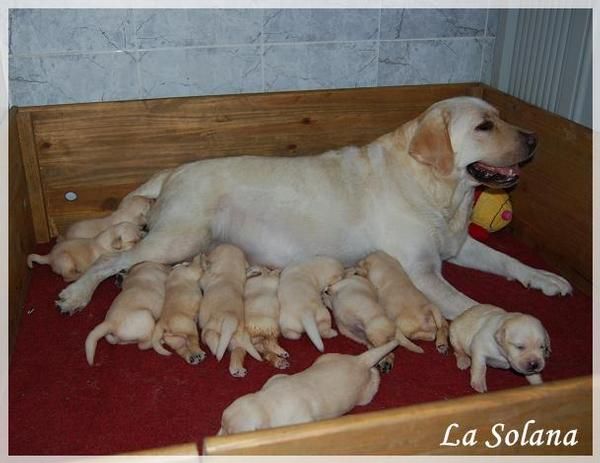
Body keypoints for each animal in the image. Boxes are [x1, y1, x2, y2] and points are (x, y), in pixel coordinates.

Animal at [56, 98, 572, 320]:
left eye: (502, 117)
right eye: (485, 126)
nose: (534, 139)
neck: (441, 191)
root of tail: (176, 169)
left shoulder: (458, 246)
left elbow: (509, 261)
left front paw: (546, 279)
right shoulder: (423, 273)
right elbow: (473, 304)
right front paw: (501, 326)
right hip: (179, 237)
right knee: (110, 258)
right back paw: (77, 293)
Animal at [199, 245, 260, 376]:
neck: (229, 273)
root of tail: (232, 319)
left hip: (209, 328)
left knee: (210, 337)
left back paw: (216, 349)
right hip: (240, 341)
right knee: (238, 352)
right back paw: (238, 370)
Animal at [217, 340, 398, 436]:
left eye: (231, 434)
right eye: (222, 426)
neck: (265, 403)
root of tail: (360, 360)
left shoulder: (302, 420)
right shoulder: (276, 379)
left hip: (366, 394)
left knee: (373, 377)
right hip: (326, 357)